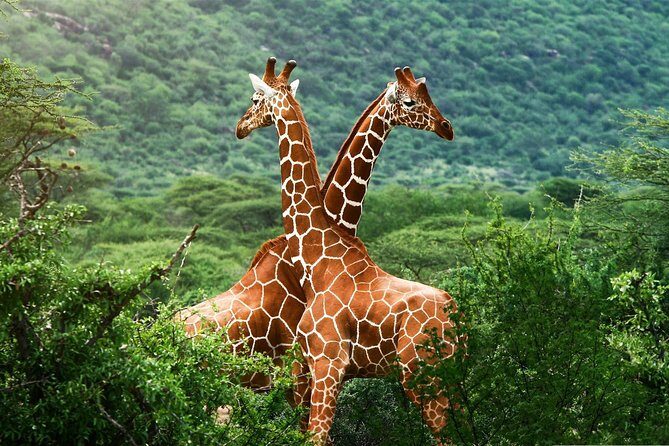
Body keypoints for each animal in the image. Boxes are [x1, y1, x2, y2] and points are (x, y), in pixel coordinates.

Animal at [235, 58, 460, 445]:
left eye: (254, 99)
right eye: (411, 101)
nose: (240, 126)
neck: (318, 253)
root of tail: (455, 315)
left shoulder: (327, 363)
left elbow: (316, 437)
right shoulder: (312, 368)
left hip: (423, 375)